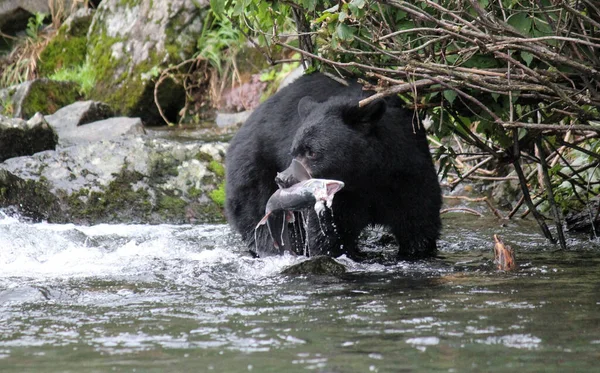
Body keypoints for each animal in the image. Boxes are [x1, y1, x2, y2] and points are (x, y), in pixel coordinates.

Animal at [225, 72, 440, 258]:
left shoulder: (407, 172)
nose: (283, 179)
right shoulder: (340, 200)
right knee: (258, 219)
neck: (366, 177)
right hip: (252, 172)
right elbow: (329, 235)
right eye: (293, 152)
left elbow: (418, 222)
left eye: (312, 152)